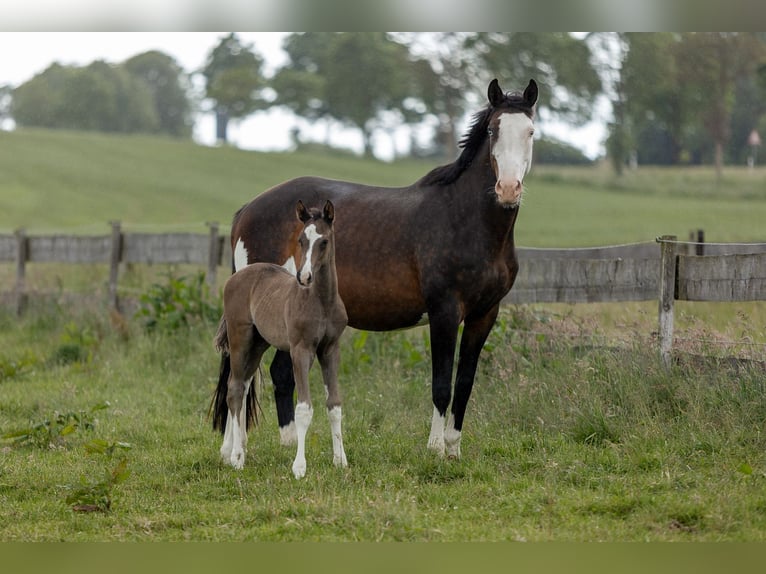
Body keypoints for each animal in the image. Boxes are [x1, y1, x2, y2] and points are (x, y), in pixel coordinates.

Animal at [214, 200, 350, 480]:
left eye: (324, 241)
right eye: (300, 240)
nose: (304, 277)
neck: (322, 301)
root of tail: (235, 277)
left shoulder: (330, 349)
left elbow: (334, 405)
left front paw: (340, 460)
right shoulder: (301, 350)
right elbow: (304, 408)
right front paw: (299, 467)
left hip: (258, 344)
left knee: (244, 386)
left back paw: (241, 450)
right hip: (240, 338)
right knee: (234, 388)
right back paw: (236, 457)